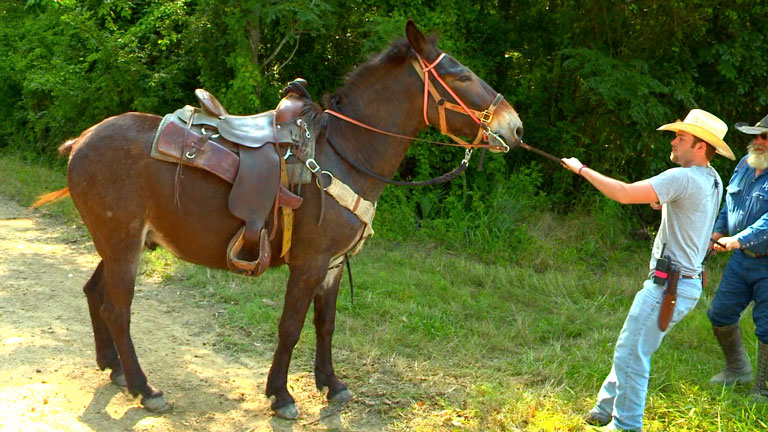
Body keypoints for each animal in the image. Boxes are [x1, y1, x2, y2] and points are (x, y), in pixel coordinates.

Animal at [35, 20, 523, 419]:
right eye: (461, 75)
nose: (514, 126)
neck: (344, 151)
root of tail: (82, 140)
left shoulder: (332, 265)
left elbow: (325, 325)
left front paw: (332, 384)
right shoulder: (309, 263)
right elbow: (290, 327)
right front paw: (282, 395)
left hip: (119, 244)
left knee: (95, 292)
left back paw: (113, 368)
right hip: (122, 245)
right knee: (117, 309)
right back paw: (143, 387)